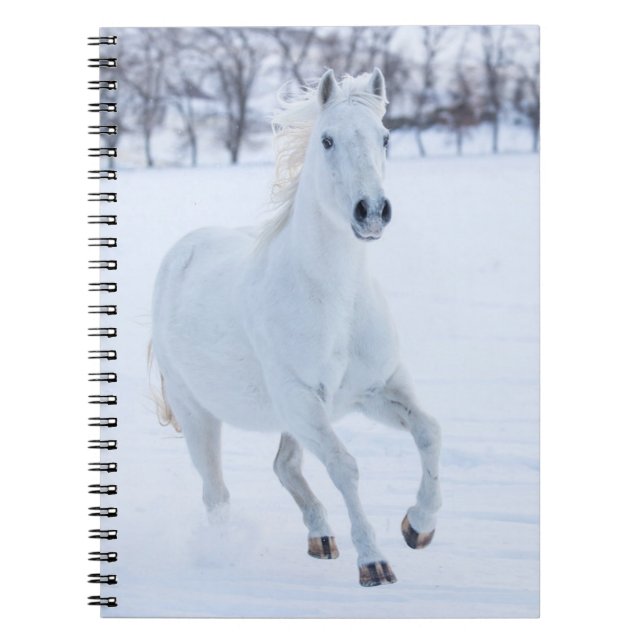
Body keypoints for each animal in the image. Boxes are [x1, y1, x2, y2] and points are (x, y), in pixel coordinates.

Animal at [151, 68, 442, 587]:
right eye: (327, 140)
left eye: (385, 137)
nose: (372, 211)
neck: (336, 304)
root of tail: (181, 251)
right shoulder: (304, 401)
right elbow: (344, 467)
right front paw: (373, 563)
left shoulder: (375, 391)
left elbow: (429, 432)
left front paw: (417, 527)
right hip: (199, 413)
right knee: (216, 494)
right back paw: (222, 556)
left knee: (284, 466)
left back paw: (321, 537)